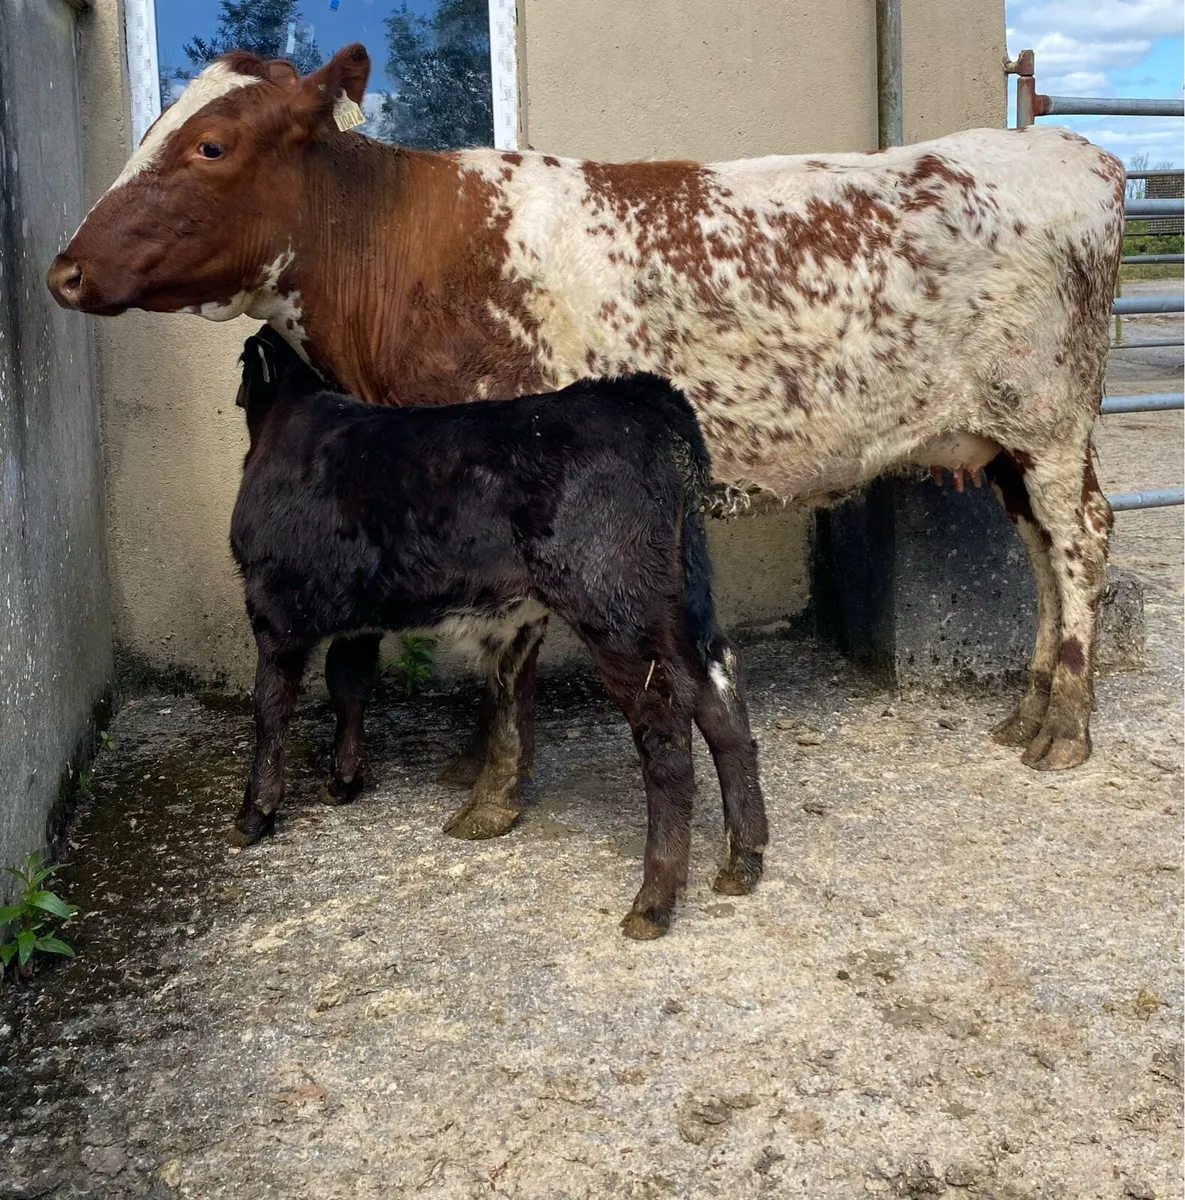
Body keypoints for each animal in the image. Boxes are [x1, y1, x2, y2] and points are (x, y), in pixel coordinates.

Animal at [47, 43, 1124, 808]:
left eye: (211, 145)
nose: (64, 268)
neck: (400, 253)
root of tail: (1073, 153)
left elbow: (507, 648)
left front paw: (493, 787)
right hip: (1004, 439)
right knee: (1039, 548)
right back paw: (1027, 707)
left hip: (1049, 415)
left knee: (1079, 540)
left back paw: (1065, 725)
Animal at [229, 326, 767, 939]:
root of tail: (637, 397)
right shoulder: (360, 617)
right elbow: (349, 684)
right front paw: (343, 780)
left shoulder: (272, 606)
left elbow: (272, 707)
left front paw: (255, 813)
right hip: (682, 598)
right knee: (719, 692)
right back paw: (744, 859)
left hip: (615, 606)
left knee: (665, 719)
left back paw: (653, 900)